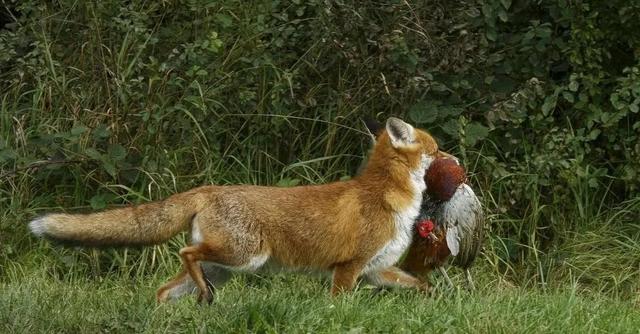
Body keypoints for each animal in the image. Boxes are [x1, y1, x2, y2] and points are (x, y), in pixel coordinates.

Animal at [30, 117, 440, 302]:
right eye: (435, 150)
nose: (450, 155)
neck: (386, 196)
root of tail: (208, 189)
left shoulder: (377, 269)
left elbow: (422, 284)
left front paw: (435, 299)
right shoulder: (349, 267)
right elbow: (338, 305)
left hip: (225, 267)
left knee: (164, 289)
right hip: (244, 256)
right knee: (185, 252)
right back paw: (200, 296)